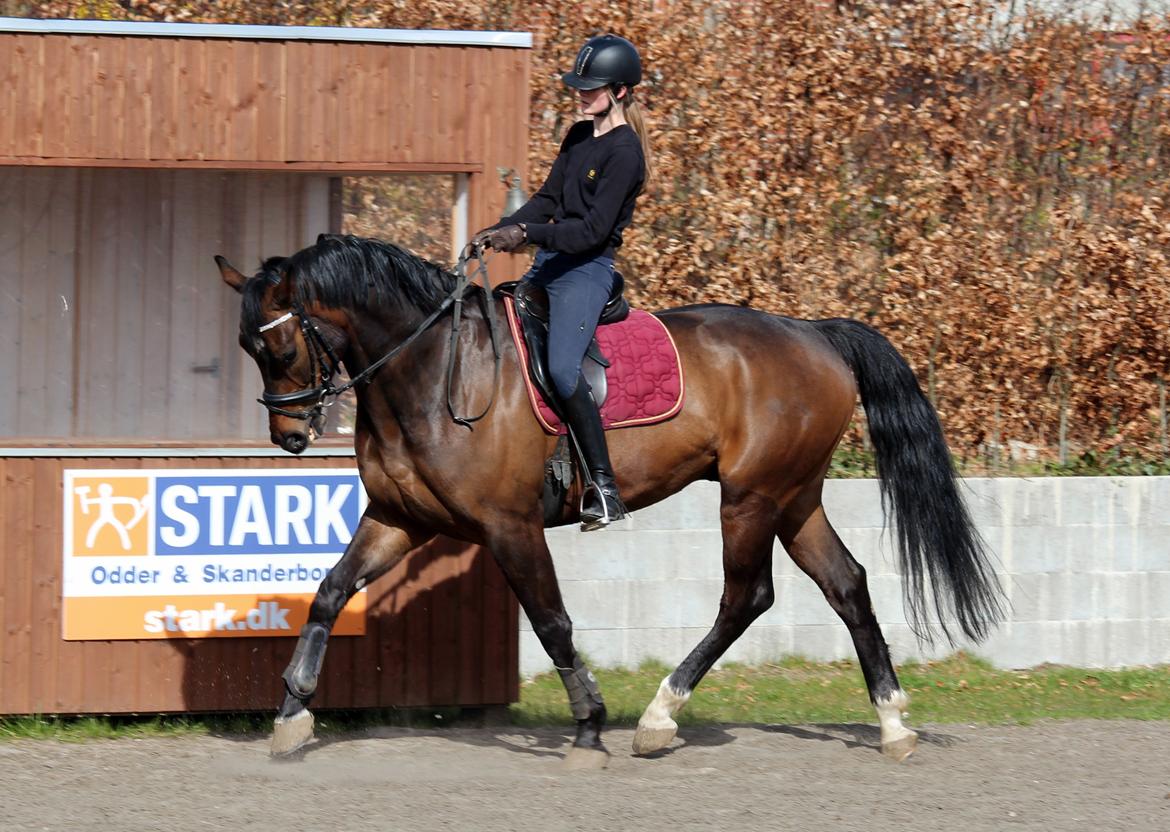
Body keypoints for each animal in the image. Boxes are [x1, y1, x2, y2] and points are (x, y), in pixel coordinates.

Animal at [219, 232, 1006, 767]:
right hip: (794, 496)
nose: (289, 437)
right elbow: (329, 592)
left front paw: (590, 724)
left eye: (279, 348)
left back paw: (660, 717)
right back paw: (893, 723)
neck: (432, 371)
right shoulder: (398, 520)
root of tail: (814, 333)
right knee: (846, 584)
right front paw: (291, 715)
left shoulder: (510, 526)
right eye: (249, 350)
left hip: (751, 498)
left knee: (745, 598)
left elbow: (552, 623)